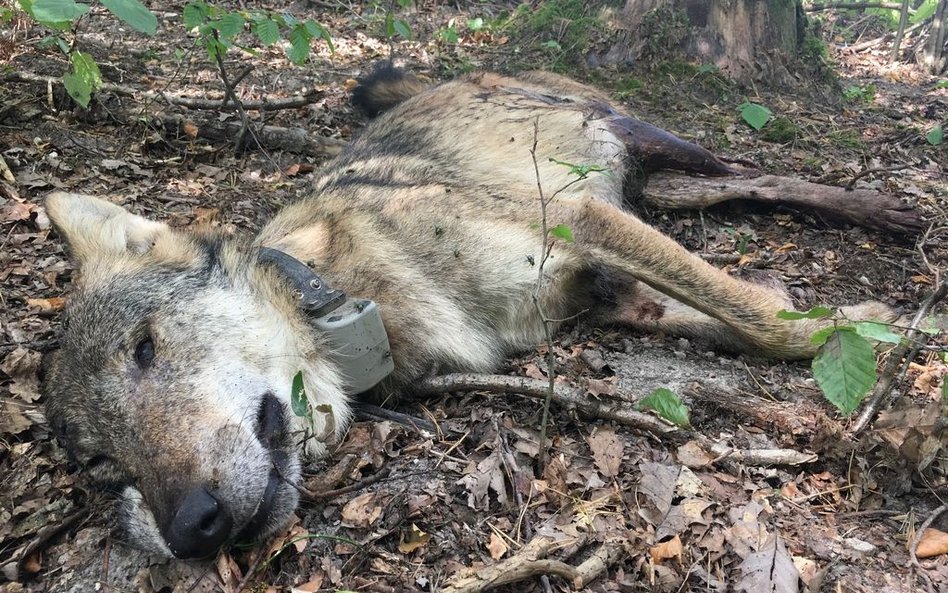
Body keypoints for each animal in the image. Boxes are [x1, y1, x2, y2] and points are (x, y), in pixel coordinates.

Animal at [39, 66, 896, 560]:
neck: (348, 288)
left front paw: (848, 329)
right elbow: (727, 312)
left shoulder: (581, 222)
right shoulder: (607, 293)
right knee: (726, 189)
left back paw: (888, 210)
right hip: (655, 182)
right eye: (106, 460)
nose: (189, 528)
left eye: (145, 349)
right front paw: (818, 317)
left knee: (758, 169)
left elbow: (752, 317)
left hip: (656, 143)